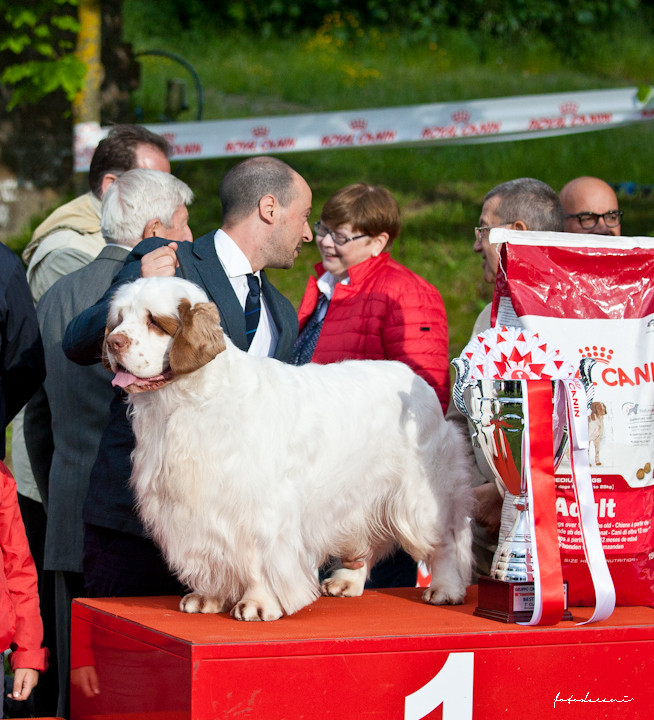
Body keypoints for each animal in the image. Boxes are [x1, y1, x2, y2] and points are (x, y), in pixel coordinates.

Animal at [102, 278, 474, 620]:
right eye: (119, 318)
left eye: (154, 320)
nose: (112, 342)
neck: (187, 401)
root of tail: (419, 381)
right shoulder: (194, 508)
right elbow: (208, 551)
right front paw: (207, 596)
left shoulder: (259, 508)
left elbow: (258, 560)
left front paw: (258, 604)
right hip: (358, 495)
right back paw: (348, 581)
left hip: (421, 497)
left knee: (446, 540)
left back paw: (445, 589)